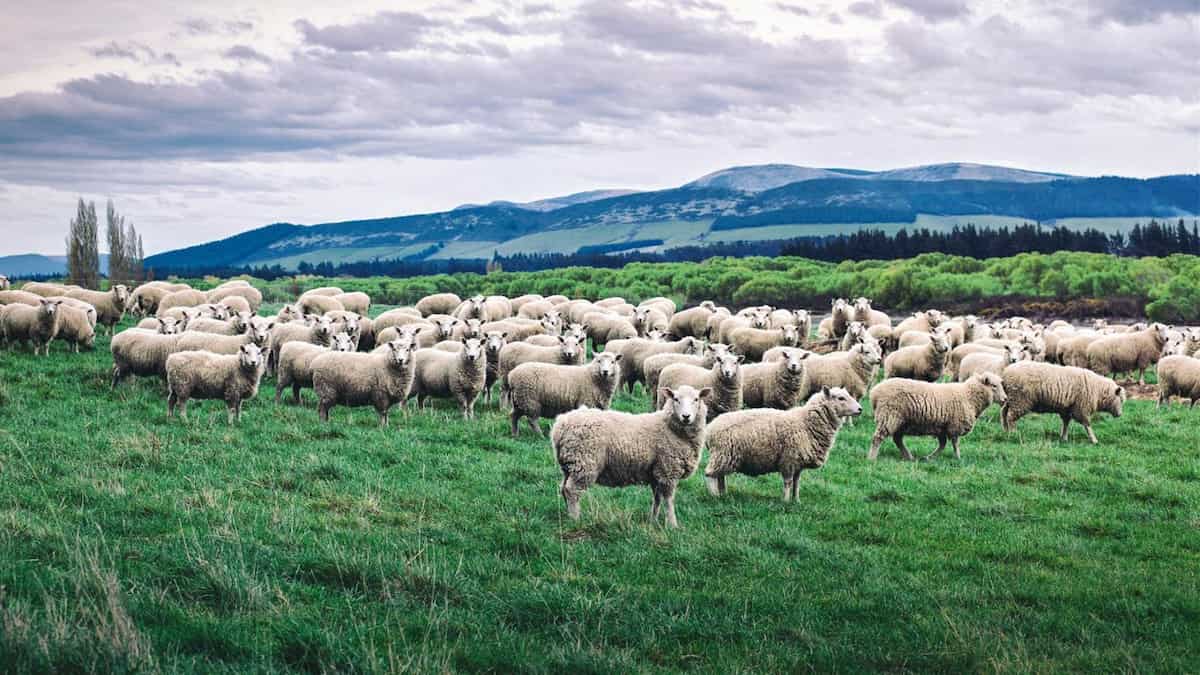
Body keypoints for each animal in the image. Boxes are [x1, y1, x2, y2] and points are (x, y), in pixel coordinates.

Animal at [551, 384, 712, 527]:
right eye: (676, 399)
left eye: (696, 399)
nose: (686, 416)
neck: (670, 428)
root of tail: (560, 426)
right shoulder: (668, 470)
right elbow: (668, 500)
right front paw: (672, 524)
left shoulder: (656, 472)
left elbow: (657, 498)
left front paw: (653, 520)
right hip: (584, 463)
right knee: (572, 491)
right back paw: (575, 519)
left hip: (569, 465)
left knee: (563, 488)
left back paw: (568, 515)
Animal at [705, 386, 863, 500]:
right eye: (841, 398)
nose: (860, 409)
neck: (806, 423)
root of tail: (710, 428)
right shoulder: (789, 459)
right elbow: (788, 482)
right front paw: (785, 501)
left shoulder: (799, 463)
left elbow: (797, 483)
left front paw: (796, 500)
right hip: (722, 454)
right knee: (710, 475)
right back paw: (715, 496)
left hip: (724, 457)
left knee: (720, 476)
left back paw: (723, 493)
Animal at [868, 373, 1007, 461]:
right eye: (994, 386)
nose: (1005, 399)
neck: (969, 396)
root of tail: (874, 392)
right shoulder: (955, 425)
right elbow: (955, 444)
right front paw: (958, 458)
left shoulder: (942, 427)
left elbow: (943, 445)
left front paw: (929, 457)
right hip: (889, 415)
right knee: (878, 438)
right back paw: (872, 458)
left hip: (901, 422)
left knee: (897, 439)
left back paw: (909, 457)